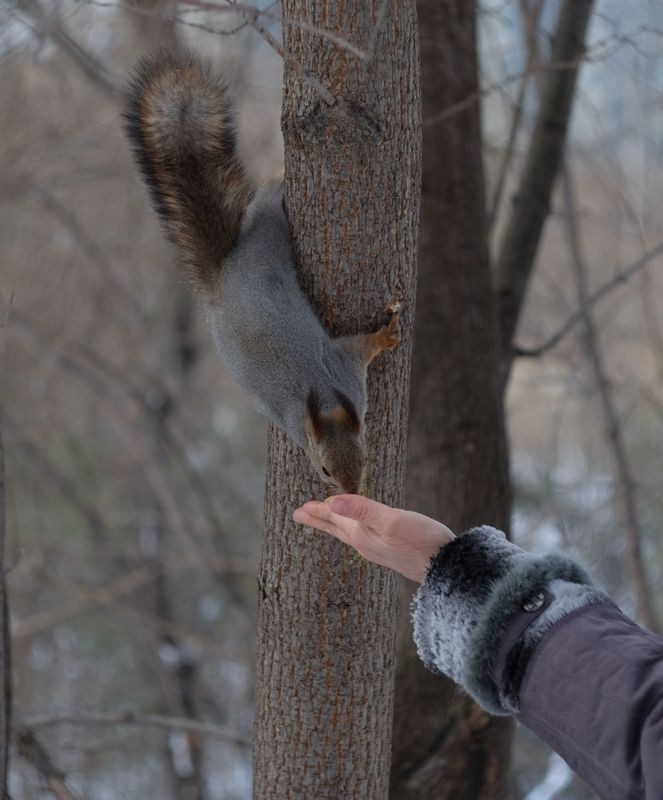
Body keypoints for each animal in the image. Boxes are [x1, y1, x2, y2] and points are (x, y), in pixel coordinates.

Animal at [122, 51, 402, 494]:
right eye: (324, 470)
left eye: (364, 457)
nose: (351, 492)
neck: (323, 396)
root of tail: (224, 275)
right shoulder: (338, 377)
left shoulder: (348, 374)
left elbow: (362, 346)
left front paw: (386, 334)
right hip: (268, 240)